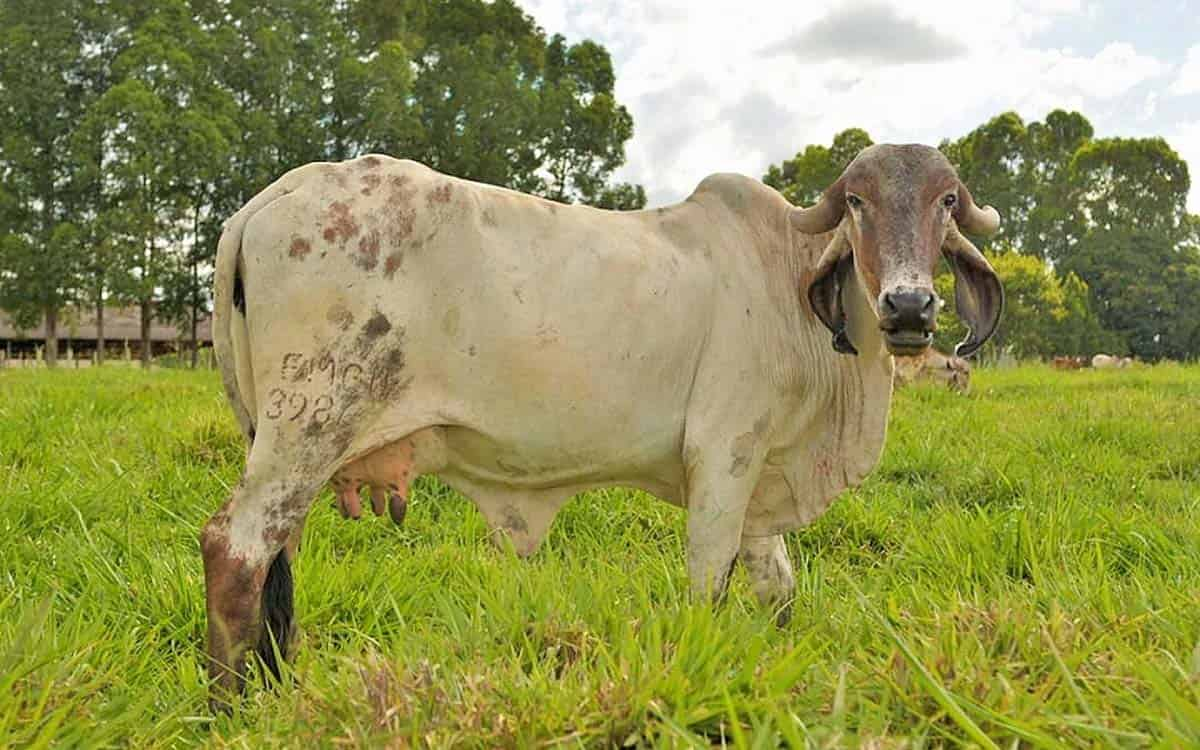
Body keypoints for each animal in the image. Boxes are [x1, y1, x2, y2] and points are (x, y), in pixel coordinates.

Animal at [204, 143, 1003, 705]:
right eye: (858, 201)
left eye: (946, 202)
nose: (909, 307)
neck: (786, 279)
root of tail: (276, 194)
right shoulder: (725, 454)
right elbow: (709, 583)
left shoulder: (761, 477)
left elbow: (778, 590)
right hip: (305, 430)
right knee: (235, 549)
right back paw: (234, 708)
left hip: (286, 443)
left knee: (276, 563)